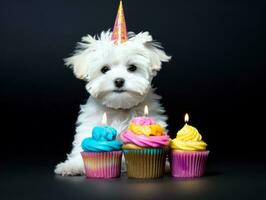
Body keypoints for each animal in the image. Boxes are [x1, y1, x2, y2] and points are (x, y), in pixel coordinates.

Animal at [54, 30, 170, 176]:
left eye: (132, 68)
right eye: (104, 69)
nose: (119, 81)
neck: (119, 108)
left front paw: (165, 165)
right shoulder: (89, 123)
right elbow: (81, 141)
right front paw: (72, 165)